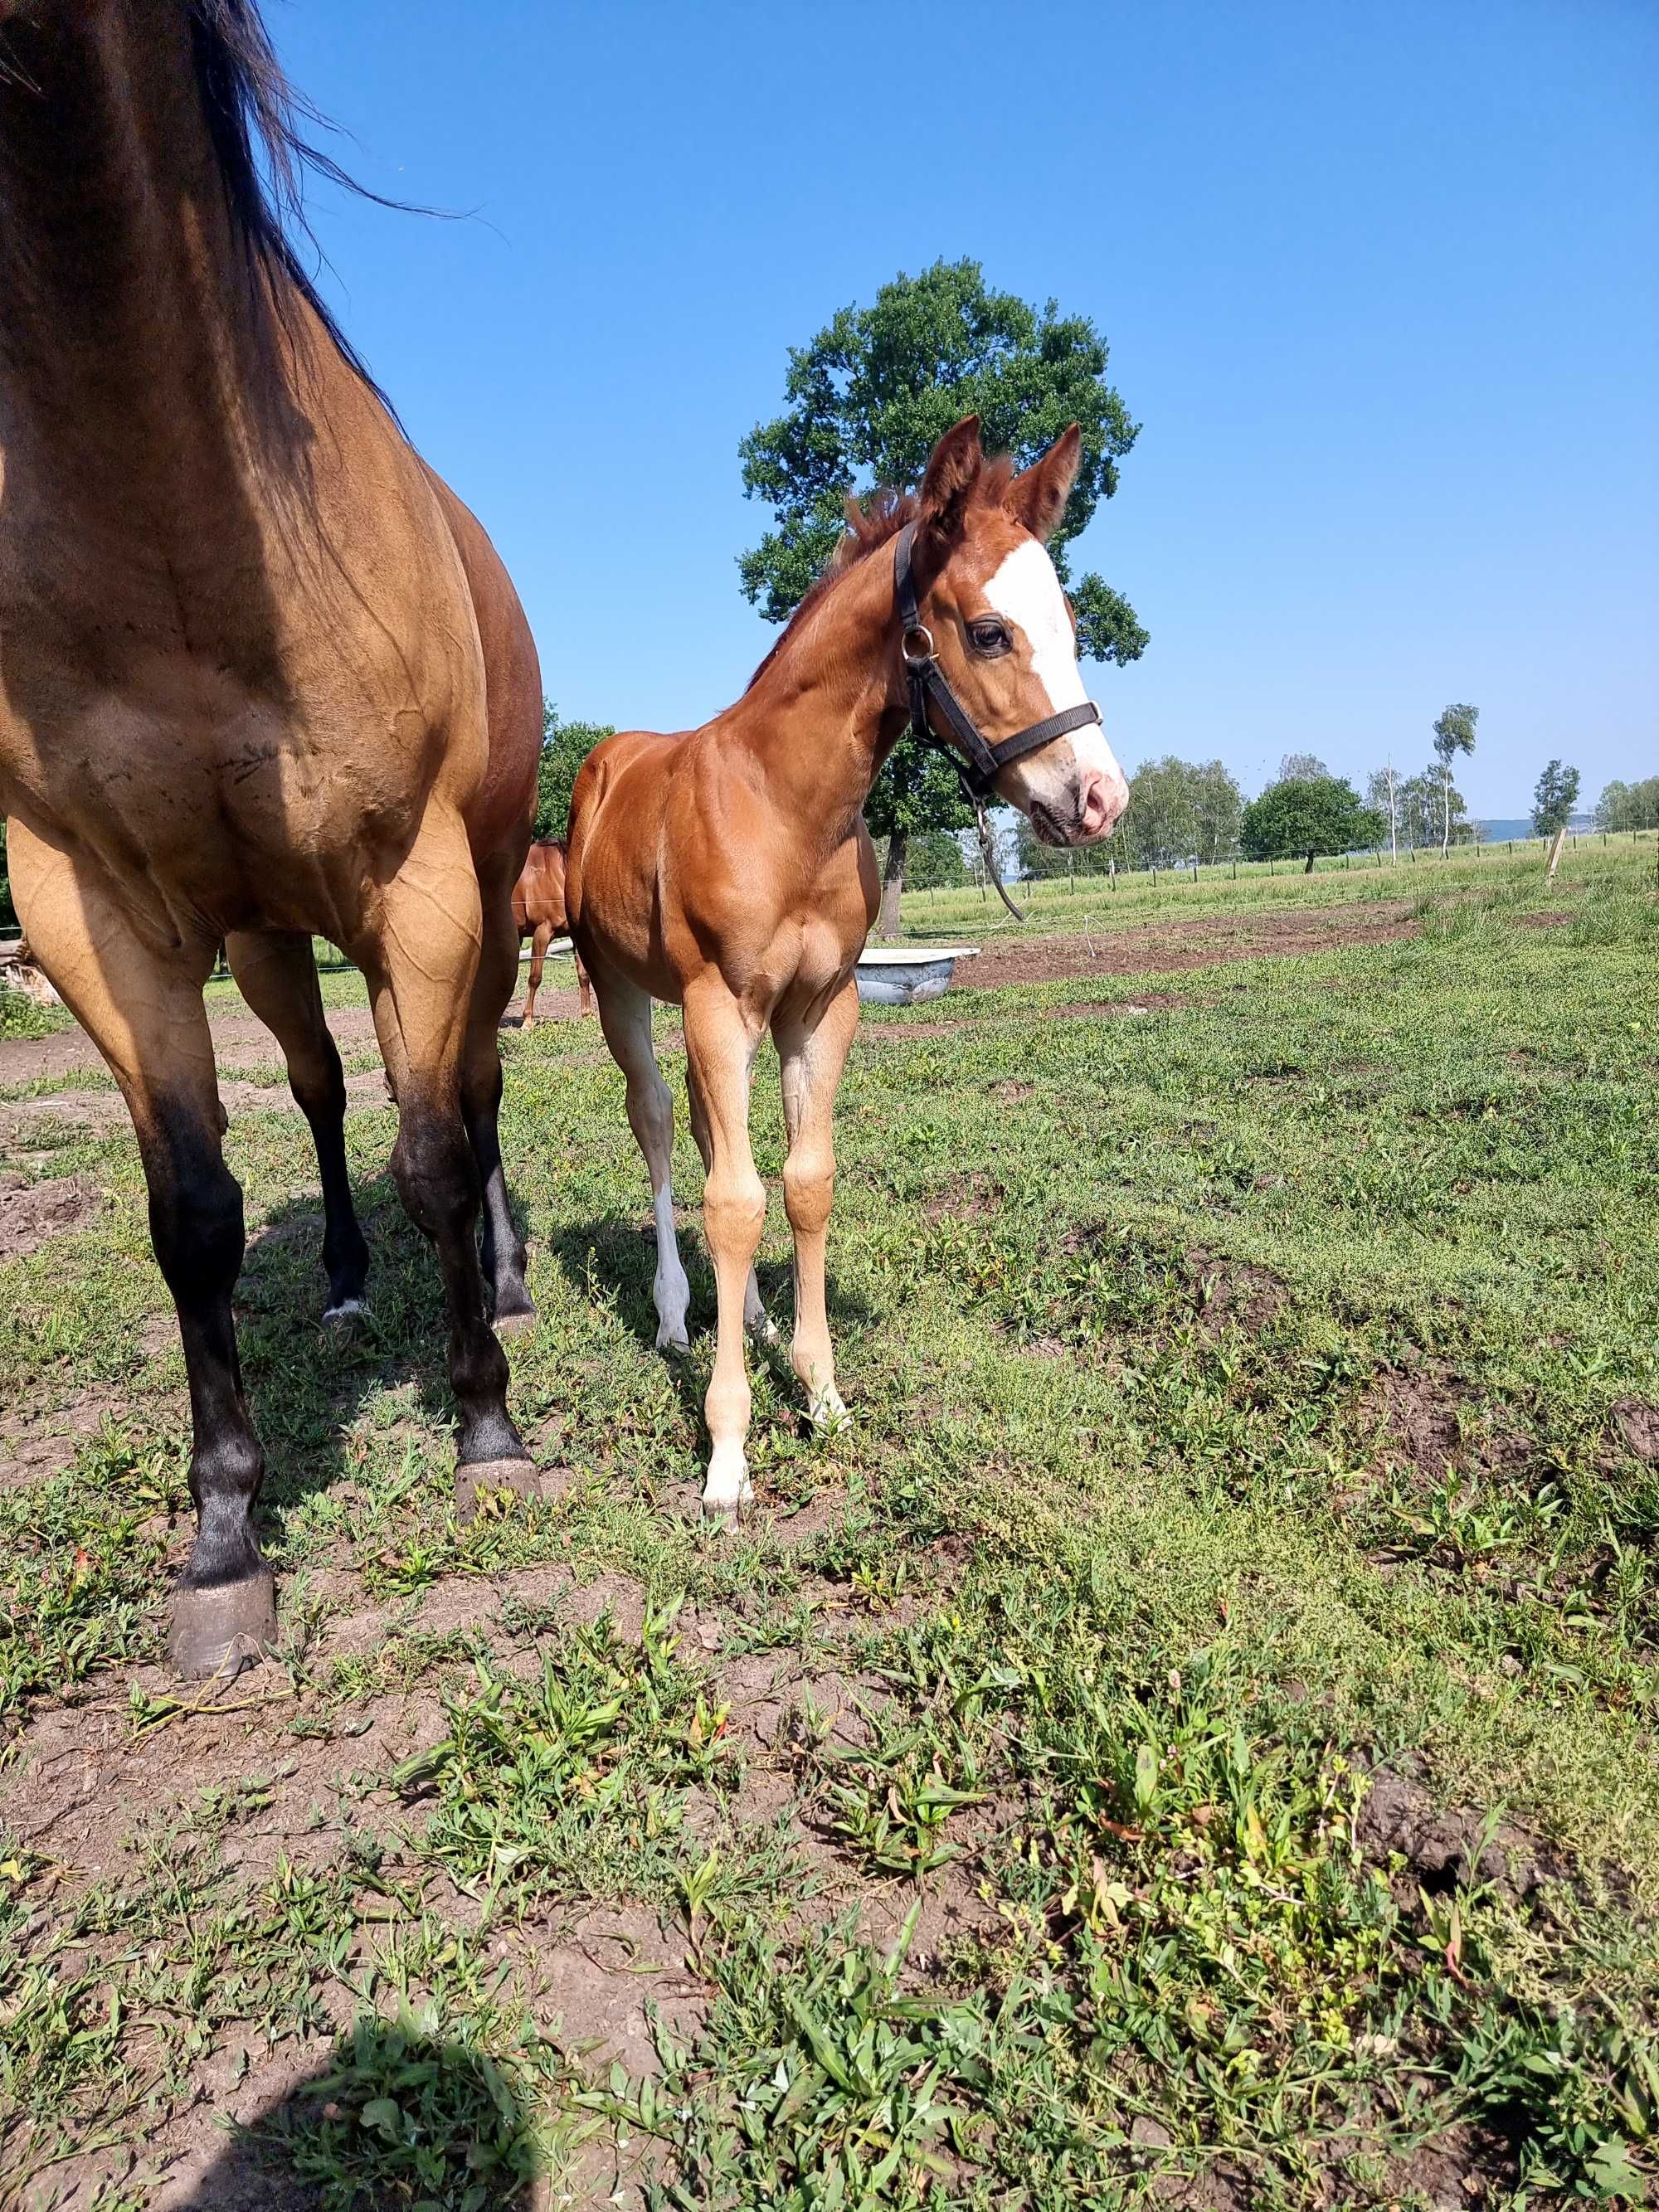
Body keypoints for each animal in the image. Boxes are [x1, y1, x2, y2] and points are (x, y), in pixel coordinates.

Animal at [1, 0, 539, 1663]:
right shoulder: (83, 909)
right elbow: (191, 1215)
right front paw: (224, 1535)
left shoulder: (425, 887)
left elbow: (437, 1151)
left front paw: (488, 1430)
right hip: (264, 938)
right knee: (316, 1092)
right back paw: (355, 1287)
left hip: (484, 901)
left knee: (470, 1100)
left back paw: (497, 1279)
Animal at [519, 836, 606, 1026]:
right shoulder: (542, 934)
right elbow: (535, 977)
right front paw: (527, 1020)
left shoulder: (576, 937)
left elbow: (583, 974)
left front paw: (587, 1014)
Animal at [571, 416, 1132, 1521]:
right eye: (989, 632)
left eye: (1071, 625)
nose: (1099, 798)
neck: (786, 806)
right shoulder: (714, 1004)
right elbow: (732, 1202)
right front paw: (726, 1453)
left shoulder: (817, 1010)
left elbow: (800, 1185)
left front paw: (819, 1389)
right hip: (624, 994)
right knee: (658, 1129)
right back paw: (673, 1315)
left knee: (710, 1140)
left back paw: (741, 1310)